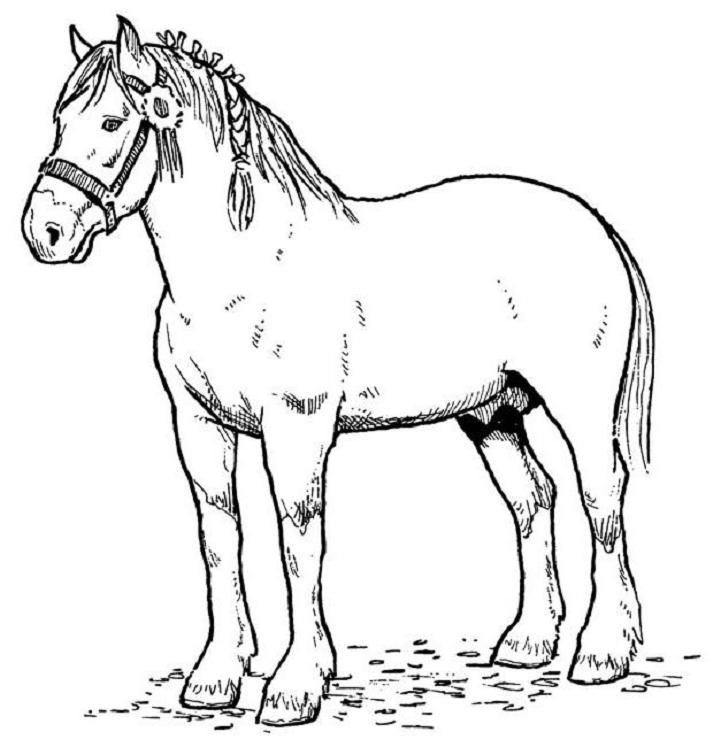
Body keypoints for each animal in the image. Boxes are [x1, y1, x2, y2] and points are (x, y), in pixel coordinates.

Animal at [21, 17, 654, 726]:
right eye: (59, 118)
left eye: (110, 121)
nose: (44, 230)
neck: (243, 269)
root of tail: (596, 227)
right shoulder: (199, 426)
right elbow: (220, 538)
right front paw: (217, 676)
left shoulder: (296, 427)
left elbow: (299, 542)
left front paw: (296, 684)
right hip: (490, 414)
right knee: (533, 497)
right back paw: (528, 641)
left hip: (582, 407)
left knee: (602, 497)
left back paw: (603, 652)